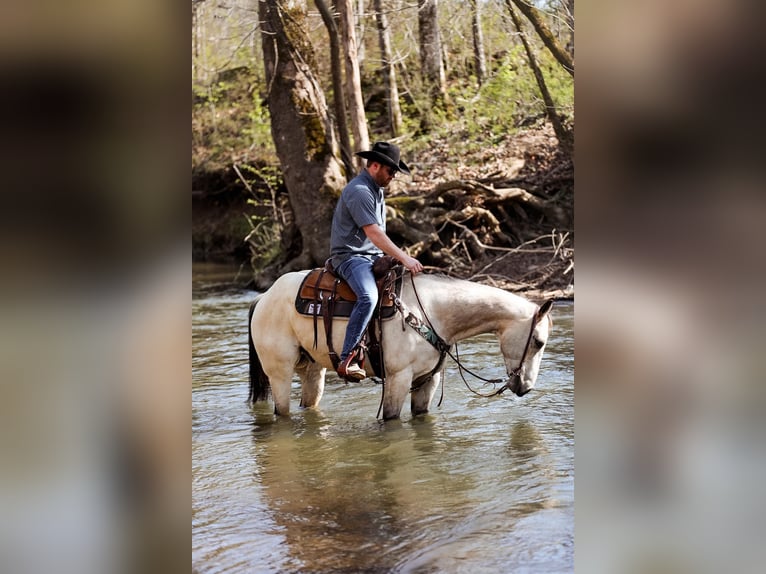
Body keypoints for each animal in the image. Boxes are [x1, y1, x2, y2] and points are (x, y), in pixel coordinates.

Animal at [249, 270, 556, 424]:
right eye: (539, 342)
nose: (525, 388)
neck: (432, 312)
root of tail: (264, 297)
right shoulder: (398, 378)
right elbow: (393, 420)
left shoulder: (427, 380)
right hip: (279, 374)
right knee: (282, 412)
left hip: (313, 371)